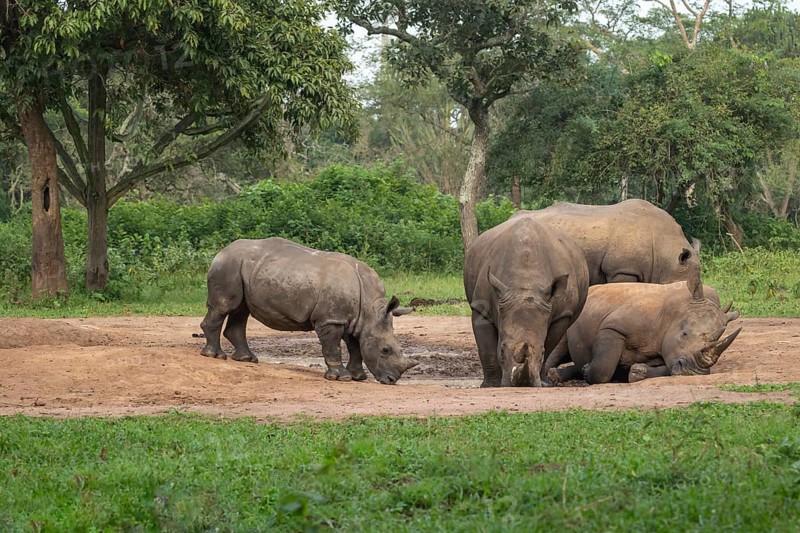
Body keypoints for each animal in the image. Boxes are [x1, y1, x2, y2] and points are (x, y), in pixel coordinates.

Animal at [199, 238, 418, 384]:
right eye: (385, 350)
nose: (392, 380)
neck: (371, 311)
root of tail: (220, 252)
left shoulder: (353, 320)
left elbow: (355, 347)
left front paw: (358, 377)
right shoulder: (331, 319)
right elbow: (333, 346)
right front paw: (341, 378)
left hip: (243, 268)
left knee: (241, 310)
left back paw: (247, 359)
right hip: (228, 266)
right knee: (224, 307)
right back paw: (214, 356)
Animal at [464, 216, 589, 387]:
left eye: (541, 354)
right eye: (501, 350)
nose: (522, 384)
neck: (525, 282)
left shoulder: (562, 314)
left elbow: (549, 344)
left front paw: (543, 383)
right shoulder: (481, 308)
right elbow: (486, 349)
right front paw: (490, 385)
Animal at [543, 280, 741, 385]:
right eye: (684, 334)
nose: (694, 371)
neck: (676, 313)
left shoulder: (667, 351)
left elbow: (665, 367)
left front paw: (637, 372)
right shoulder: (613, 327)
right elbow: (603, 368)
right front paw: (588, 371)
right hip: (573, 308)